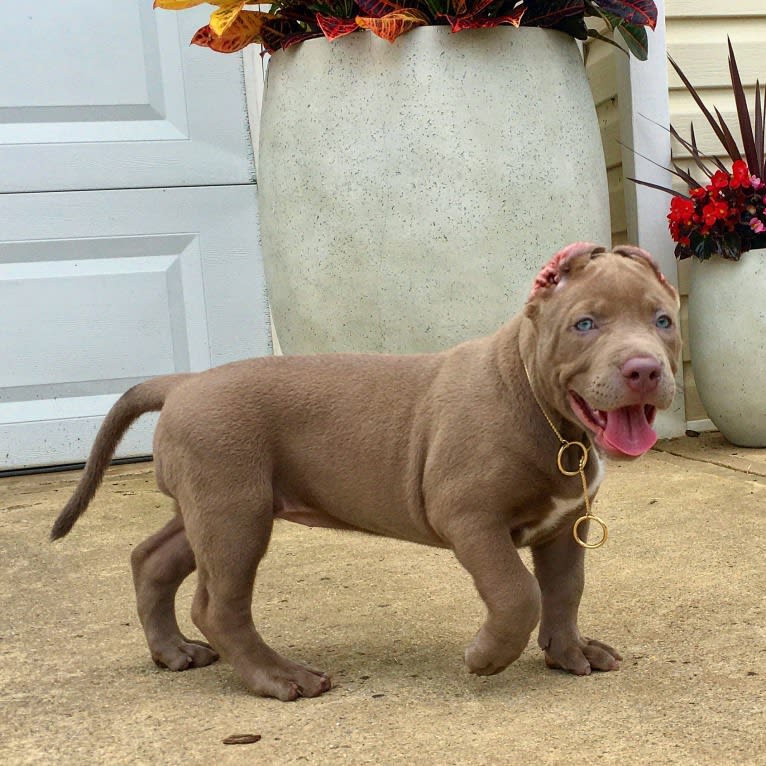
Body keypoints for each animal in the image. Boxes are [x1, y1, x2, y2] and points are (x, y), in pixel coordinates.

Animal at [51, 244, 680, 704]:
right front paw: (486, 657)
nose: (644, 369)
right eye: (585, 324)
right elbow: (516, 592)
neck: (541, 406)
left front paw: (569, 652)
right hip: (234, 512)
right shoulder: (471, 518)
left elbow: (566, 588)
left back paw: (172, 652)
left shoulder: (565, 524)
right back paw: (279, 678)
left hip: (209, 507)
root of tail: (183, 383)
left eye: (663, 320)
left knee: (152, 559)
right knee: (218, 605)